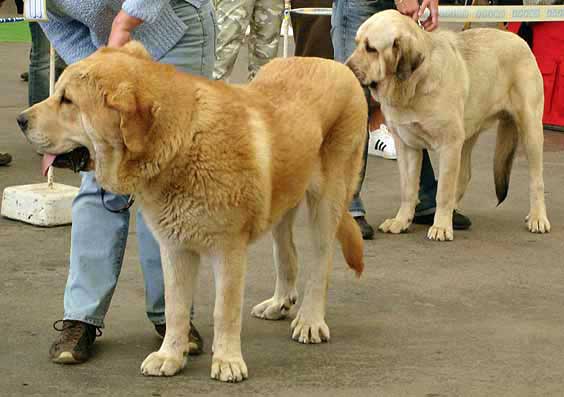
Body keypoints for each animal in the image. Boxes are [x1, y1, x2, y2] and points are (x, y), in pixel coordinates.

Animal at [16, 42, 366, 380]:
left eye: (67, 100)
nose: (20, 120)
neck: (180, 144)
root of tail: (334, 64)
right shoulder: (174, 248)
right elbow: (176, 307)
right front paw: (170, 356)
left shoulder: (229, 251)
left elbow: (225, 310)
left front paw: (227, 361)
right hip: (283, 199)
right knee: (287, 253)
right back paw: (279, 303)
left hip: (327, 202)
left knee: (321, 262)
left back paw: (310, 320)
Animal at [348, 9, 552, 240]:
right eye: (356, 43)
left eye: (371, 48)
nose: (345, 67)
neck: (413, 84)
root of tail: (520, 40)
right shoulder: (407, 146)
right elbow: (408, 189)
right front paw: (401, 221)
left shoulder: (448, 145)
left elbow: (443, 191)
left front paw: (441, 226)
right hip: (467, 137)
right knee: (464, 175)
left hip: (530, 130)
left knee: (536, 180)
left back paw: (537, 218)